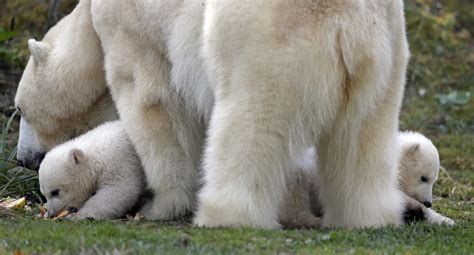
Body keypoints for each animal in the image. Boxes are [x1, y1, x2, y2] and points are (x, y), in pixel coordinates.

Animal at [18, 0, 410, 227]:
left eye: (18, 108)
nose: (23, 159)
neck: (90, 13)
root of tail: (345, 24)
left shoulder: (135, 30)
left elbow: (153, 102)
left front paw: (159, 206)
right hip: (384, 55)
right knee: (363, 136)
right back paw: (365, 218)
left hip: (269, 43)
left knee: (250, 123)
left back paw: (224, 215)